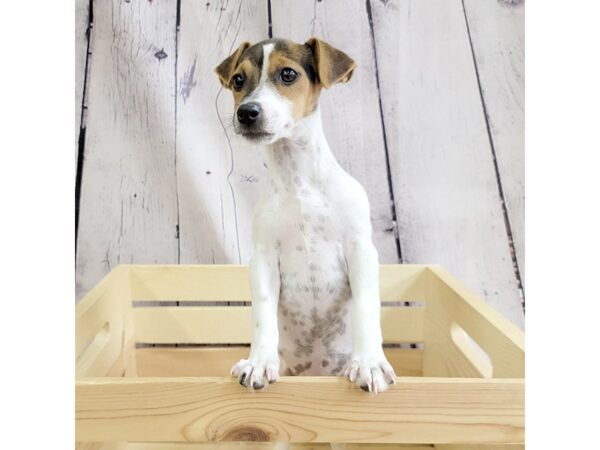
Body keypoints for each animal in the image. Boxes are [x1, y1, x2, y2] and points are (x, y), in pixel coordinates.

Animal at [217, 37, 398, 394]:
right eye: (238, 80)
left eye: (288, 74)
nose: (246, 113)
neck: (299, 182)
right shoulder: (263, 259)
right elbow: (262, 314)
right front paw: (259, 361)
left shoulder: (361, 251)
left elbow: (367, 309)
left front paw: (369, 363)